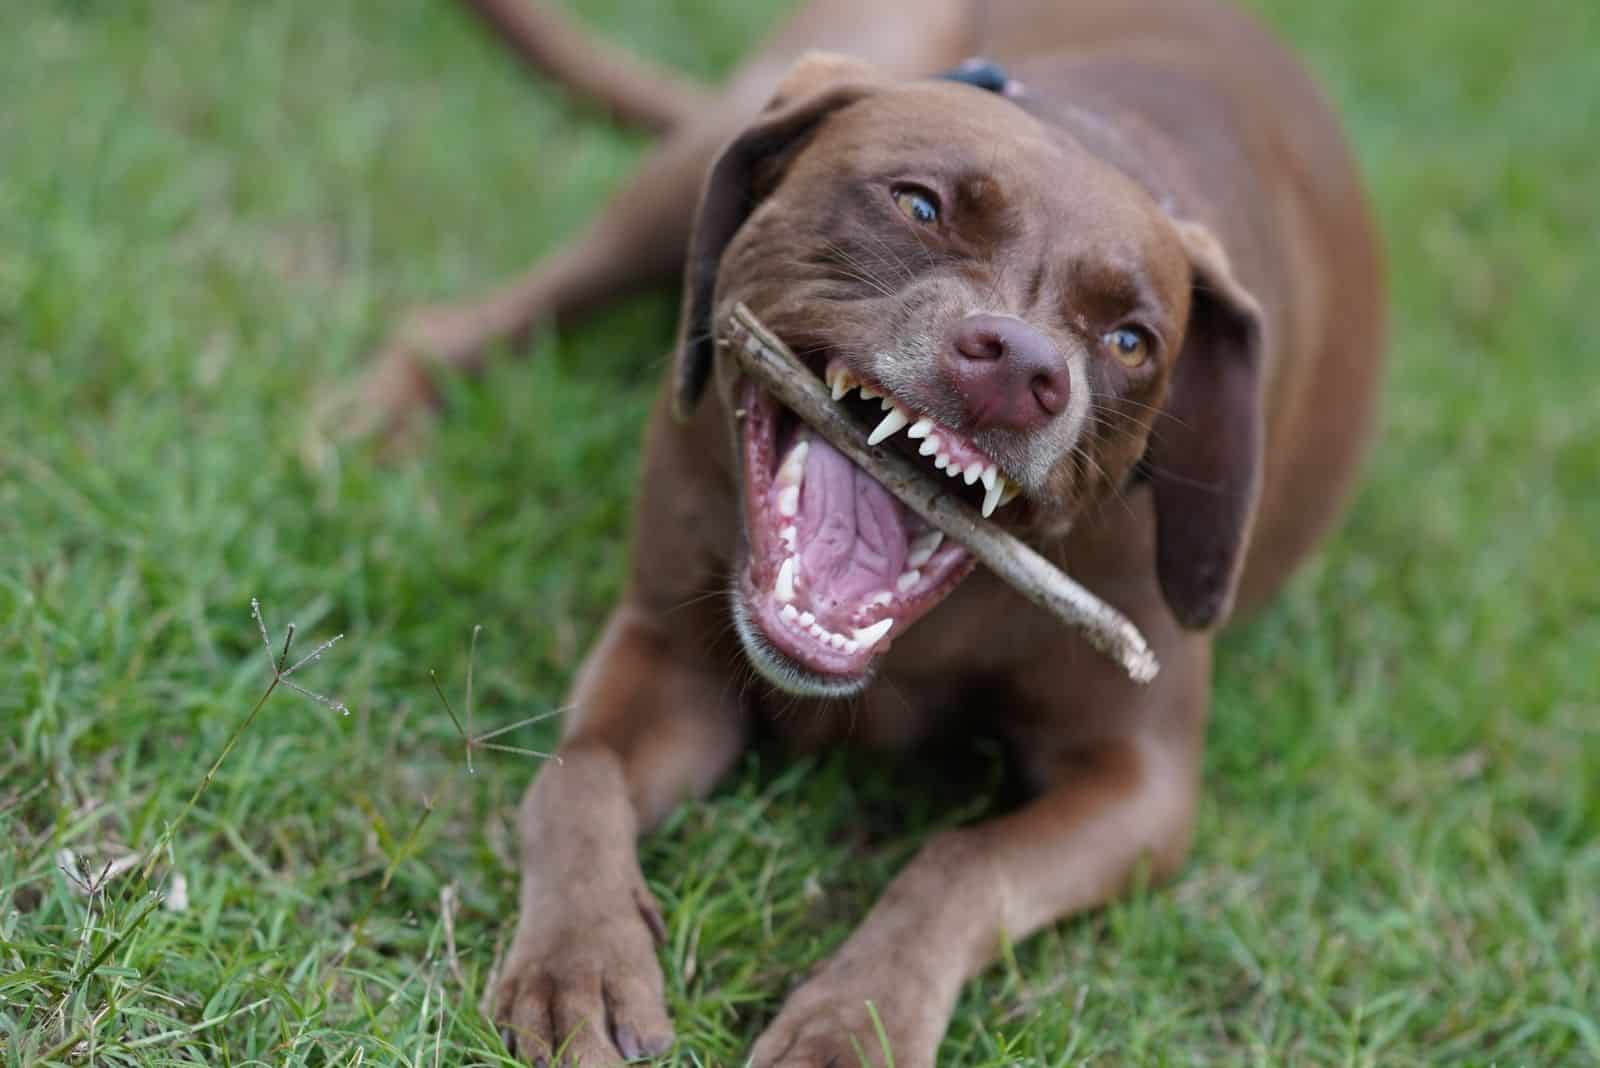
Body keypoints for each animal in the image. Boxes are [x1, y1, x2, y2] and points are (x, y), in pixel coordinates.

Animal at [353, 0, 1388, 1061]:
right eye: (919, 207)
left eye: (1131, 341)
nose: (1023, 368)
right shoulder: (664, 649)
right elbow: (575, 775)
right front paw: (582, 960)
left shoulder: (1139, 783)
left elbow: (959, 864)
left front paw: (856, 1021)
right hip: (693, 163)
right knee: (491, 307)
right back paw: (375, 411)